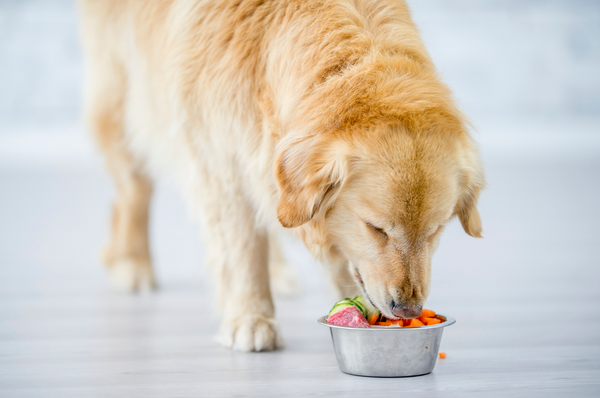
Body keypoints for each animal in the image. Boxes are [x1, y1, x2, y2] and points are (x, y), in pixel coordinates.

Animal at [78, 0, 482, 352]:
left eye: (435, 231)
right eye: (376, 228)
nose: (409, 310)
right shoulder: (222, 161)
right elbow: (243, 248)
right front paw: (251, 318)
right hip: (123, 100)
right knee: (134, 191)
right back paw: (132, 261)